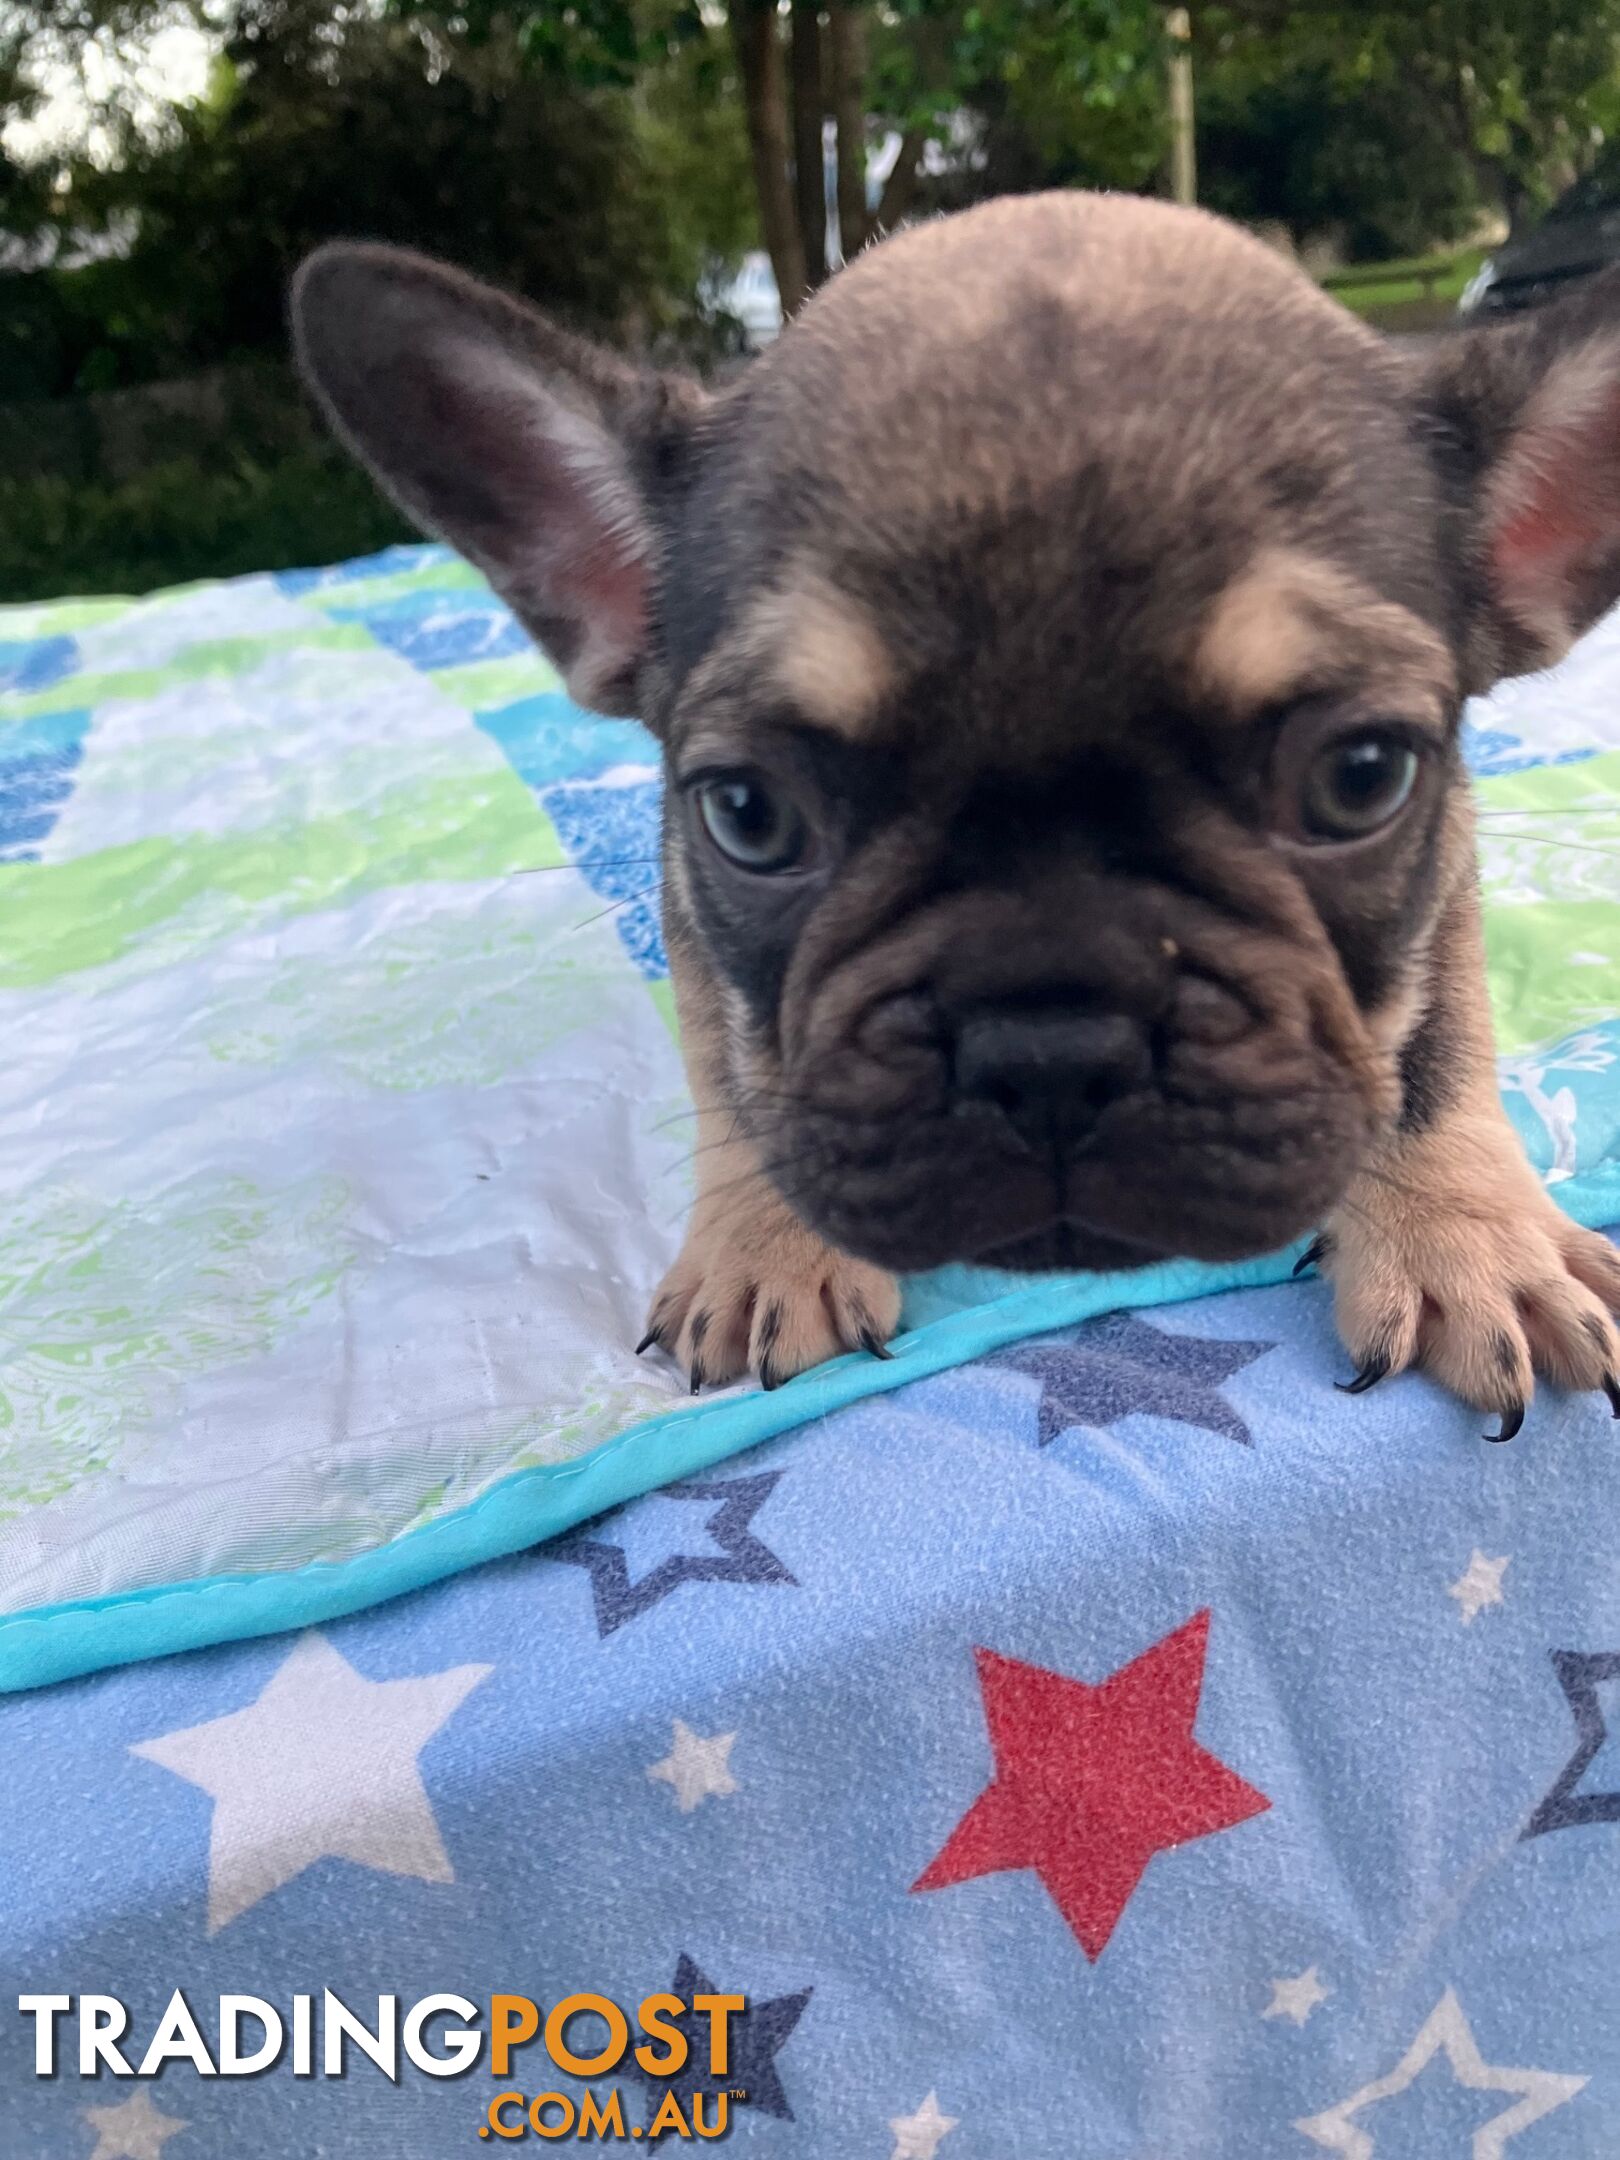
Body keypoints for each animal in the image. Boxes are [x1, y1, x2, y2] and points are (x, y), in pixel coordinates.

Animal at [295, 190, 1620, 1434]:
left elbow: (1438, 1041)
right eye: (750, 815)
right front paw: (765, 1241)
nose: (1049, 1051)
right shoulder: (686, 886)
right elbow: (739, 1062)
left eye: (1361, 778)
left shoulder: (1446, 865)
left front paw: (1464, 1234)